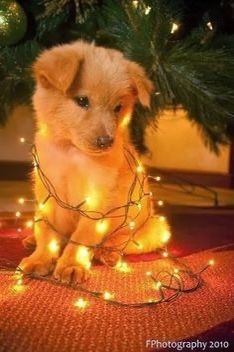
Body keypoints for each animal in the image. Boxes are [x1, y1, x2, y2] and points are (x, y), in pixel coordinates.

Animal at [20, 40, 169, 284]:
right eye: (82, 100)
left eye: (118, 108)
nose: (105, 142)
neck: (72, 153)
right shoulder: (47, 192)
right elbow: (46, 232)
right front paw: (40, 258)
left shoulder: (97, 201)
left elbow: (82, 237)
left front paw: (72, 265)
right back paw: (31, 239)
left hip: (154, 228)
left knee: (124, 242)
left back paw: (108, 252)